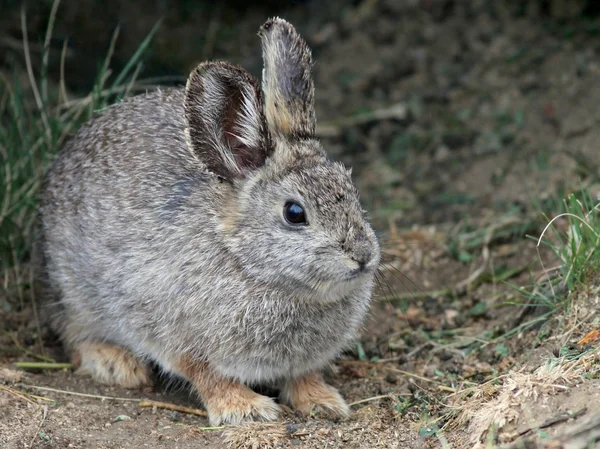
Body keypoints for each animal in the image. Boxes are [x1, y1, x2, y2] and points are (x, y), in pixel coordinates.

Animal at [39, 16, 380, 424]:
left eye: (351, 187)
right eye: (294, 213)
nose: (363, 255)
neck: (248, 264)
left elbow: (302, 375)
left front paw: (323, 401)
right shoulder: (176, 336)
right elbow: (209, 376)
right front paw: (246, 410)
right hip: (74, 293)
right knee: (73, 336)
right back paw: (117, 364)